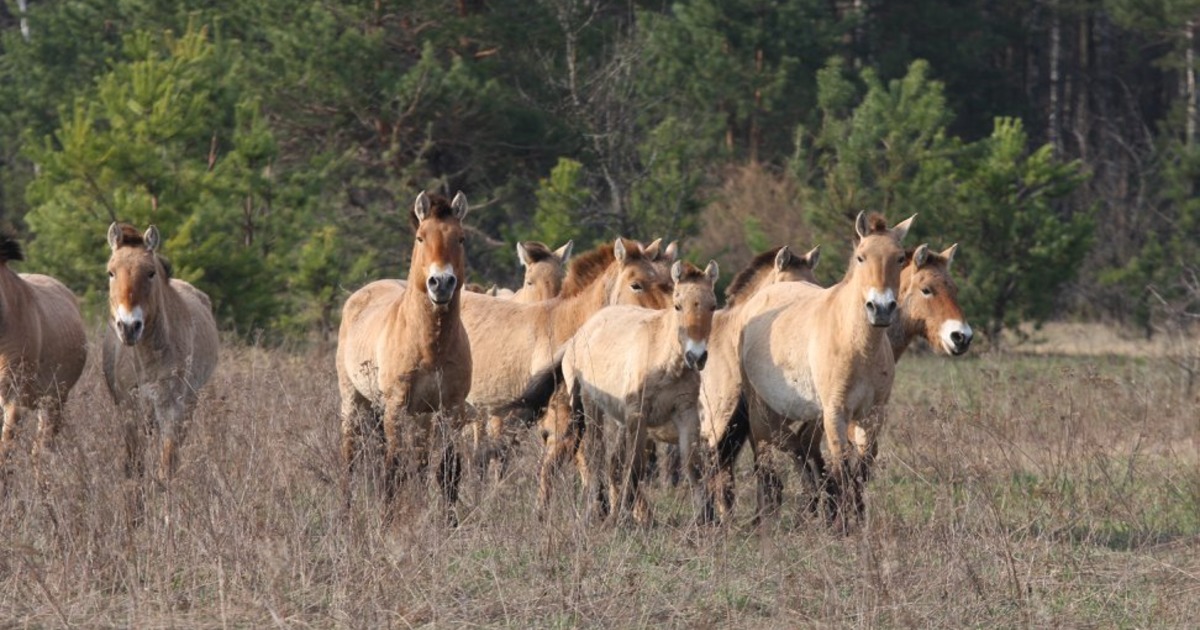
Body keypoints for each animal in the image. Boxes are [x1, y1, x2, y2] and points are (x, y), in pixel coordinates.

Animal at [103, 222, 220, 482]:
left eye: (150, 273)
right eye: (111, 272)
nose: (129, 327)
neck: (145, 357)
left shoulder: (171, 408)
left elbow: (166, 465)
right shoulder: (129, 407)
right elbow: (134, 463)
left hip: (189, 402)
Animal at [338, 190, 472, 520]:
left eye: (461, 238)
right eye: (421, 237)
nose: (441, 283)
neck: (430, 346)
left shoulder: (451, 409)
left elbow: (448, 473)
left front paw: (448, 524)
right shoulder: (396, 407)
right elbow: (393, 469)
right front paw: (386, 522)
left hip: (421, 416)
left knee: (421, 465)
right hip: (352, 401)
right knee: (350, 459)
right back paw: (344, 516)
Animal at [734, 213, 912, 528]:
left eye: (900, 258)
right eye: (861, 257)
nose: (880, 308)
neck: (857, 345)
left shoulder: (873, 415)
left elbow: (861, 470)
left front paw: (857, 520)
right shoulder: (834, 413)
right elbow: (841, 469)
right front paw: (841, 526)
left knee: (794, 445)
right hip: (761, 409)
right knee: (767, 456)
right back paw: (769, 517)